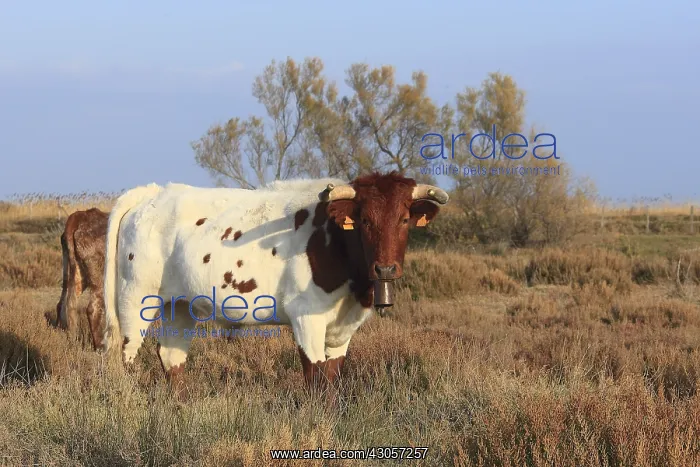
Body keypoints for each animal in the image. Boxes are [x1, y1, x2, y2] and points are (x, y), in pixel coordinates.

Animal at [49, 208, 109, 351]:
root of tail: (79, 215)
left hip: (76, 275)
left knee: (65, 304)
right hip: (99, 279)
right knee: (92, 309)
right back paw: (100, 346)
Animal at [102, 172, 448, 393]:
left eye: (404, 219)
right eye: (364, 219)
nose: (385, 268)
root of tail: (153, 192)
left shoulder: (343, 329)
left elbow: (332, 379)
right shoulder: (306, 318)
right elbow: (316, 380)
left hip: (180, 304)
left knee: (172, 357)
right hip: (135, 299)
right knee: (125, 356)